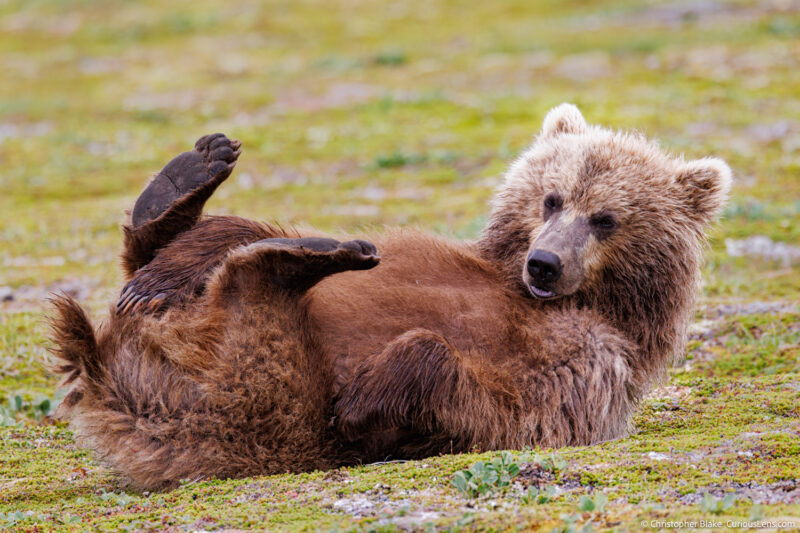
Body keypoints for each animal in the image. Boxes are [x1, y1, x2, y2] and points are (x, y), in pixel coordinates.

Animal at [47, 105, 728, 490]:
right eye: (552, 198)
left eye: (606, 218)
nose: (545, 262)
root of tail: (110, 383)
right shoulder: (447, 261)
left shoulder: (591, 365)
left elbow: (496, 403)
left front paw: (363, 398)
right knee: (216, 248)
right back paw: (188, 185)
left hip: (254, 396)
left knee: (257, 303)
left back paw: (306, 259)